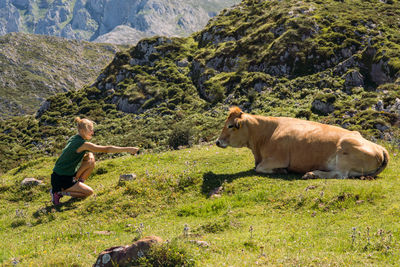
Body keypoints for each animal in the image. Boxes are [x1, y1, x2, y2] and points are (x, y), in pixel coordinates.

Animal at [217, 107, 390, 180]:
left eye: (230, 126)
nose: (218, 141)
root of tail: (380, 148)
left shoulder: (277, 158)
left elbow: (259, 168)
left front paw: (282, 171)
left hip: (345, 149)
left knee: (340, 175)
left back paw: (312, 174)